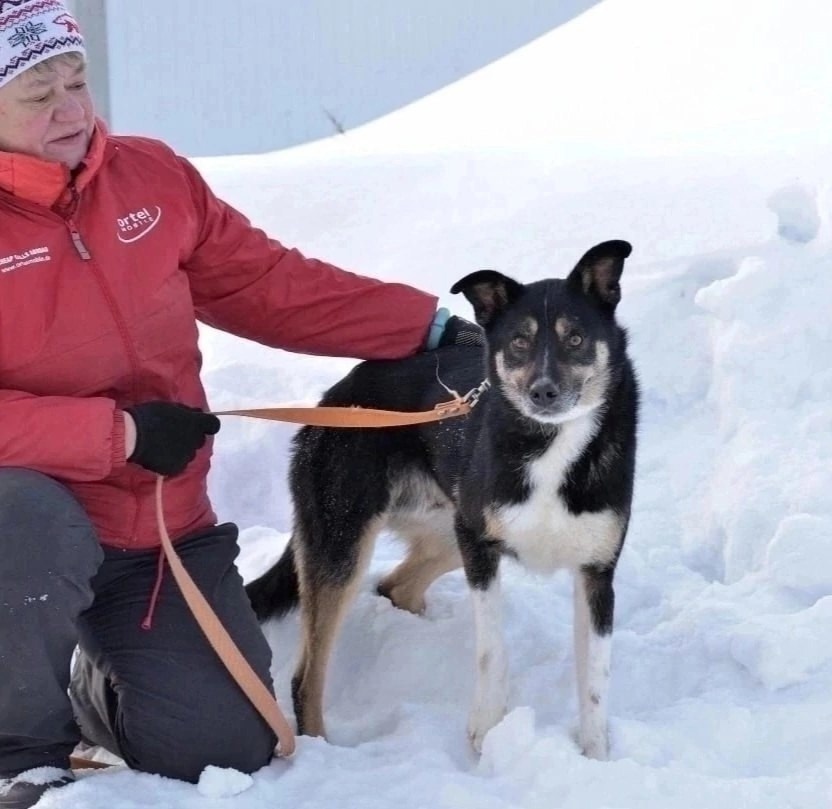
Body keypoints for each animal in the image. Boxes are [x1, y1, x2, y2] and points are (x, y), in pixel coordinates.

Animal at [245, 238, 636, 756]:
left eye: (575, 338)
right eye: (519, 341)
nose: (543, 392)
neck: (548, 443)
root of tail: (335, 397)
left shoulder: (596, 572)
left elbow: (595, 681)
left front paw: (595, 757)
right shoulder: (482, 553)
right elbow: (492, 650)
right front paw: (486, 730)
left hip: (450, 530)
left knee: (396, 587)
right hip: (348, 541)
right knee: (305, 677)